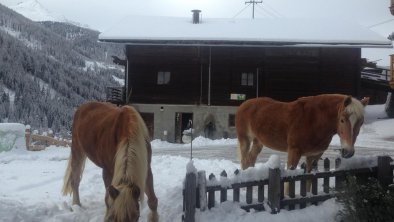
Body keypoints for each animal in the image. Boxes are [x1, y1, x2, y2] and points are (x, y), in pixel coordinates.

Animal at [237, 93, 370, 173]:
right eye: (342, 120)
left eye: (361, 122)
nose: (348, 152)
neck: (315, 120)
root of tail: (245, 104)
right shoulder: (294, 152)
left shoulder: (314, 156)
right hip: (245, 140)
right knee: (244, 161)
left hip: (258, 142)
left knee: (250, 160)